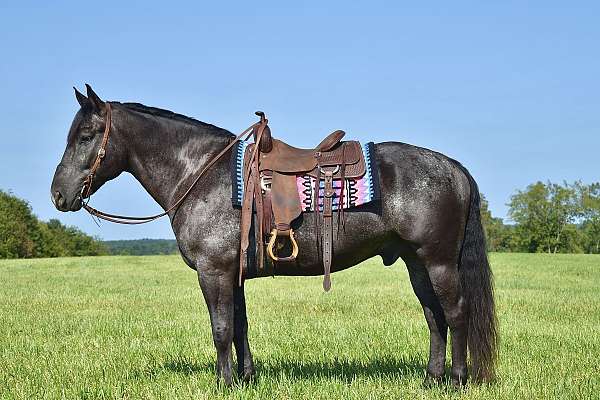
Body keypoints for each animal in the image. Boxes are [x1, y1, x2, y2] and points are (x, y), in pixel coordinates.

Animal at [50, 85, 496, 388]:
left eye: (87, 136)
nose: (58, 194)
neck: (201, 174)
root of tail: (453, 166)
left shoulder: (213, 272)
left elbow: (221, 328)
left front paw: (223, 383)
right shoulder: (232, 274)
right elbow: (240, 325)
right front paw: (245, 379)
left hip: (438, 261)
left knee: (455, 313)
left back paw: (457, 379)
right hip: (416, 262)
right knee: (434, 316)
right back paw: (431, 379)